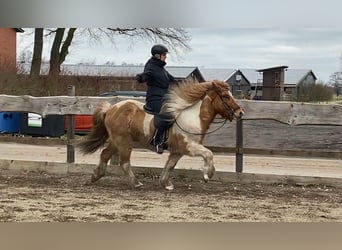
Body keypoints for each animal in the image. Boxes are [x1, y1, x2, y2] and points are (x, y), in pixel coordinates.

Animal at [78, 79, 243, 189]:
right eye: (225, 96)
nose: (240, 113)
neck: (193, 116)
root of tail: (111, 109)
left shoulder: (177, 151)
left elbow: (170, 165)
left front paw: (165, 183)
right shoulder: (188, 146)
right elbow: (209, 154)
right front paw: (207, 174)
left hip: (116, 141)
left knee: (105, 154)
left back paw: (95, 176)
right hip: (124, 142)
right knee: (124, 162)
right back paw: (136, 183)